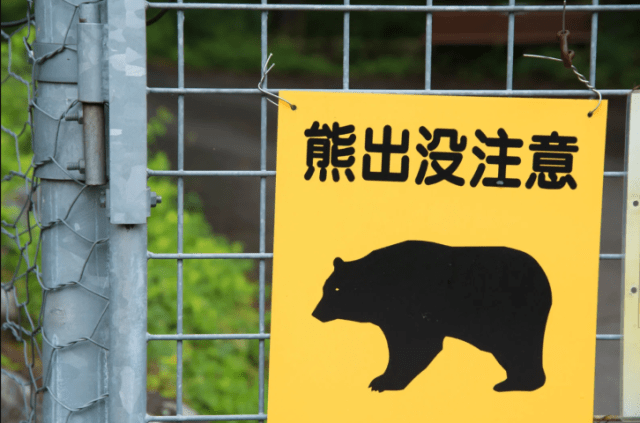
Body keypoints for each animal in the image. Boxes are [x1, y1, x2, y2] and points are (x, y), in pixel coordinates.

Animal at [312, 240, 552, 393]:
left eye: (336, 289)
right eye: (325, 288)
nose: (315, 313)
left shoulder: (413, 307)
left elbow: (416, 345)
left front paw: (383, 382)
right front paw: (381, 380)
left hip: (514, 314)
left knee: (519, 348)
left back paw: (518, 384)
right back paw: (511, 382)